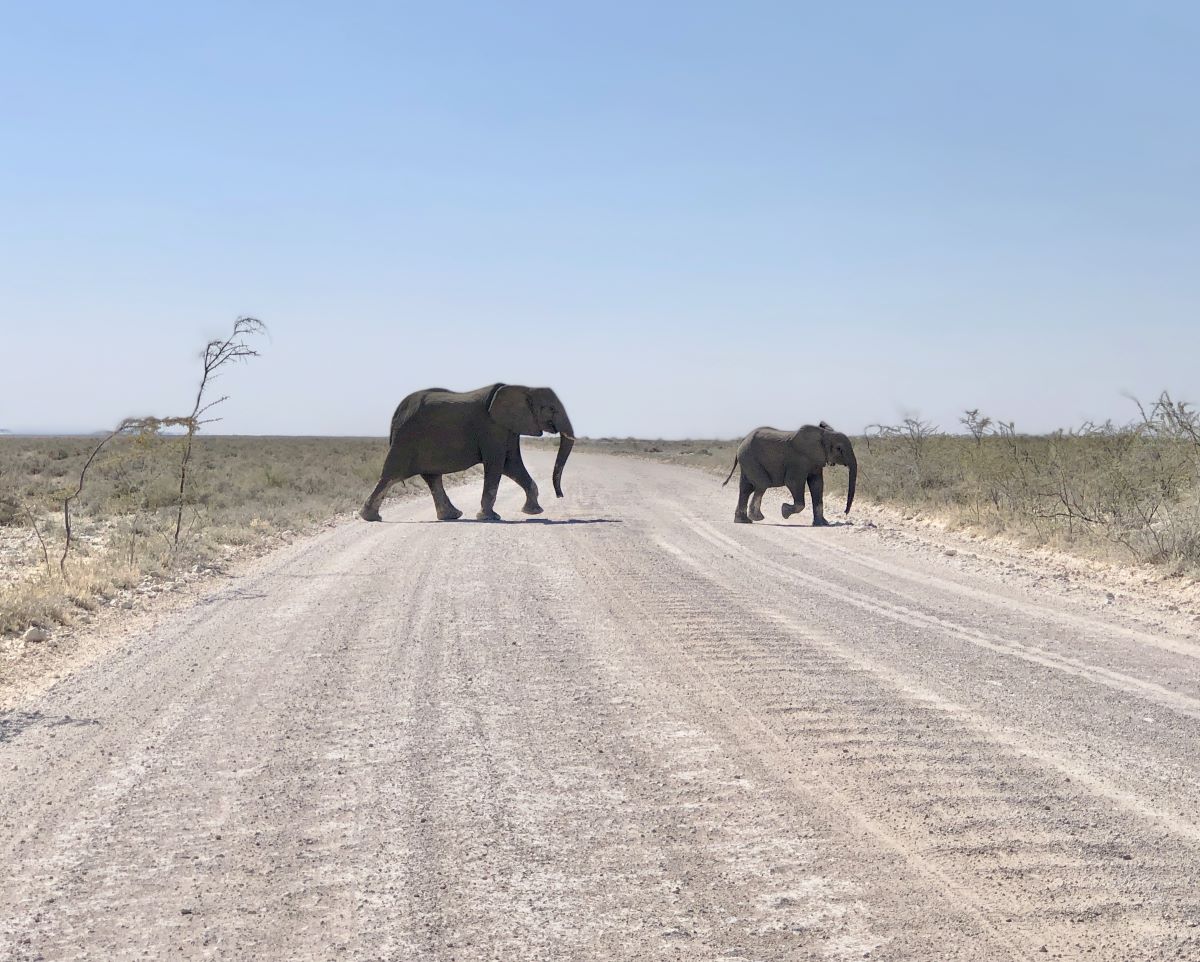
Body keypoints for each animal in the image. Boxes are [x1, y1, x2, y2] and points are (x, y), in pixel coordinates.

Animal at [357, 381, 573, 520]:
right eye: (552, 409)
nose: (560, 496)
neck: (523, 388)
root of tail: (397, 412)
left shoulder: (508, 428)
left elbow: (511, 464)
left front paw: (533, 512)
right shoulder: (492, 427)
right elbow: (496, 465)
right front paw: (489, 517)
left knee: (432, 478)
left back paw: (451, 516)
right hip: (406, 439)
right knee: (390, 475)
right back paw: (370, 517)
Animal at [720, 419, 854, 525]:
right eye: (839, 449)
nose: (845, 512)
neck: (824, 433)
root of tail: (742, 442)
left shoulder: (815, 461)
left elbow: (817, 484)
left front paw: (822, 524)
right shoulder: (798, 460)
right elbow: (793, 482)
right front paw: (784, 511)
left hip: (746, 460)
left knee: (746, 488)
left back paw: (743, 521)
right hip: (750, 458)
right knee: (762, 484)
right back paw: (757, 518)